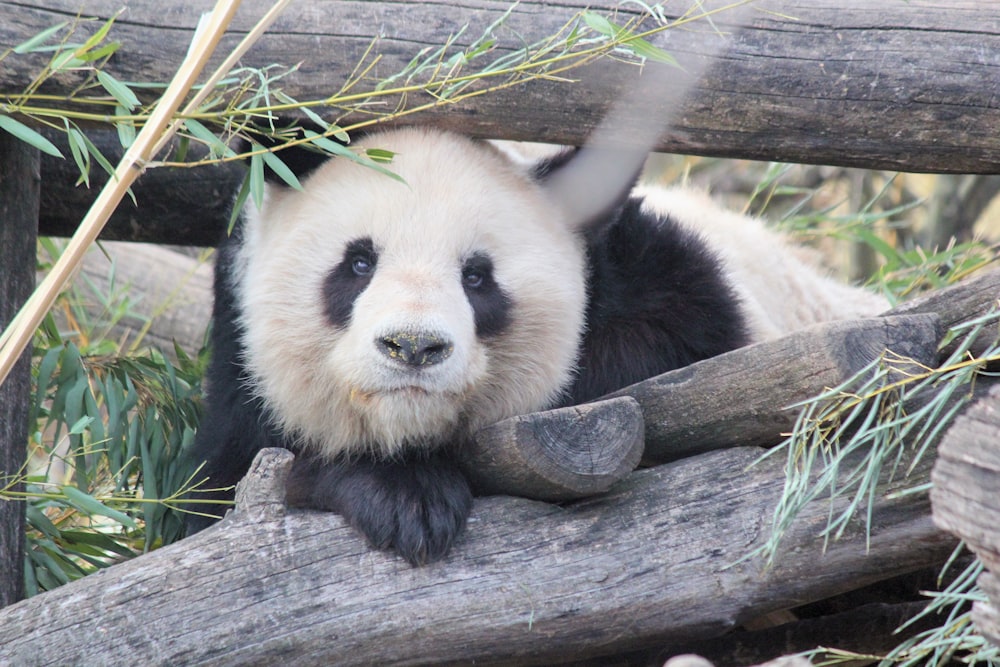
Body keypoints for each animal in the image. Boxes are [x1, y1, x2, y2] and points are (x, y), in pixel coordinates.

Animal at [184, 125, 888, 564]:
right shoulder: (239, 374)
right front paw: (406, 498)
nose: (413, 347)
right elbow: (225, 488)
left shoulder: (679, 302)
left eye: (477, 277)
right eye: (358, 264)